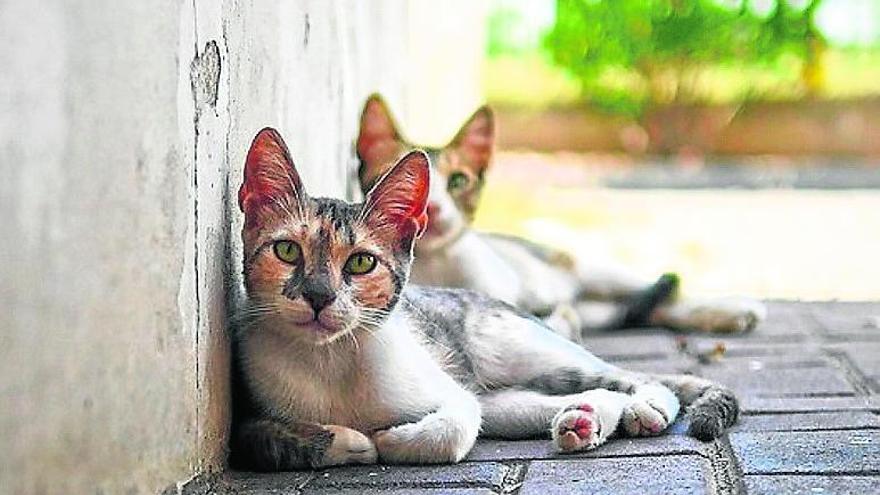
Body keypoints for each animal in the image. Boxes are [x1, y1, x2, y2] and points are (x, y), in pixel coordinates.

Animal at [230, 127, 740, 468]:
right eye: (287, 251)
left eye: (360, 263)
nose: (318, 295)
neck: (329, 362)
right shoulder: (249, 415)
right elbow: (263, 440)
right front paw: (348, 441)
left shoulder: (453, 396)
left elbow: (454, 427)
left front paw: (388, 440)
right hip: (506, 400)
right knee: (577, 394)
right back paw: (584, 420)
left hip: (527, 352)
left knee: (633, 378)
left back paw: (643, 408)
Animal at [354, 95, 768, 340]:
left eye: (458, 181)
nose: (433, 208)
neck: (437, 267)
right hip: (593, 302)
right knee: (644, 309)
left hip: (588, 268)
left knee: (662, 292)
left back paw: (725, 309)